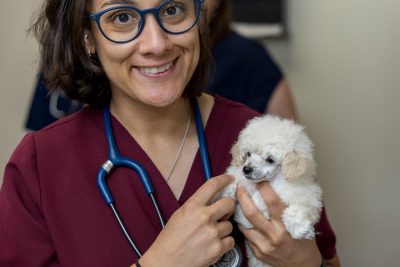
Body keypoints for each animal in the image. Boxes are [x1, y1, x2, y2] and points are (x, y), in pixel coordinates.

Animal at [220, 115, 324, 267]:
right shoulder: (241, 177)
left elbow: (299, 208)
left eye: (270, 159)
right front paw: (226, 191)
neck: (269, 181)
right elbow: (233, 175)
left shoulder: (305, 193)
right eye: (248, 154)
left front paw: (299, 229)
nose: (247, 169)